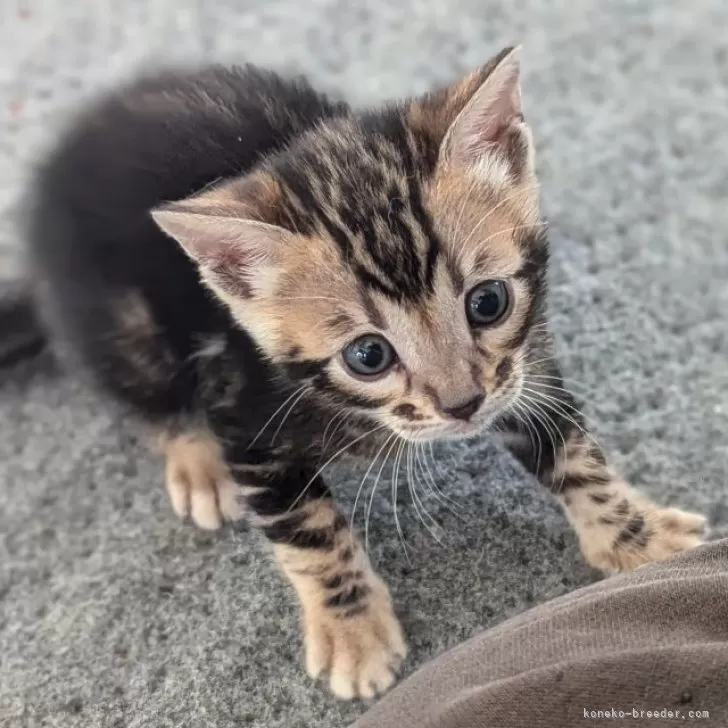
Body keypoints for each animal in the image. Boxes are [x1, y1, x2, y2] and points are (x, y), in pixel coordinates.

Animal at [27, 47, 704, 700]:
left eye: (488, 302)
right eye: (369, 356)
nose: (463, 404)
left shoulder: (519, 368)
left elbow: (572, 450)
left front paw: (639, 540)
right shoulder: (246, 415)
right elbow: (310, 534)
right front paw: (352, 633)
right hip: (120, 320)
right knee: (145, 390)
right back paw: (196, 463)